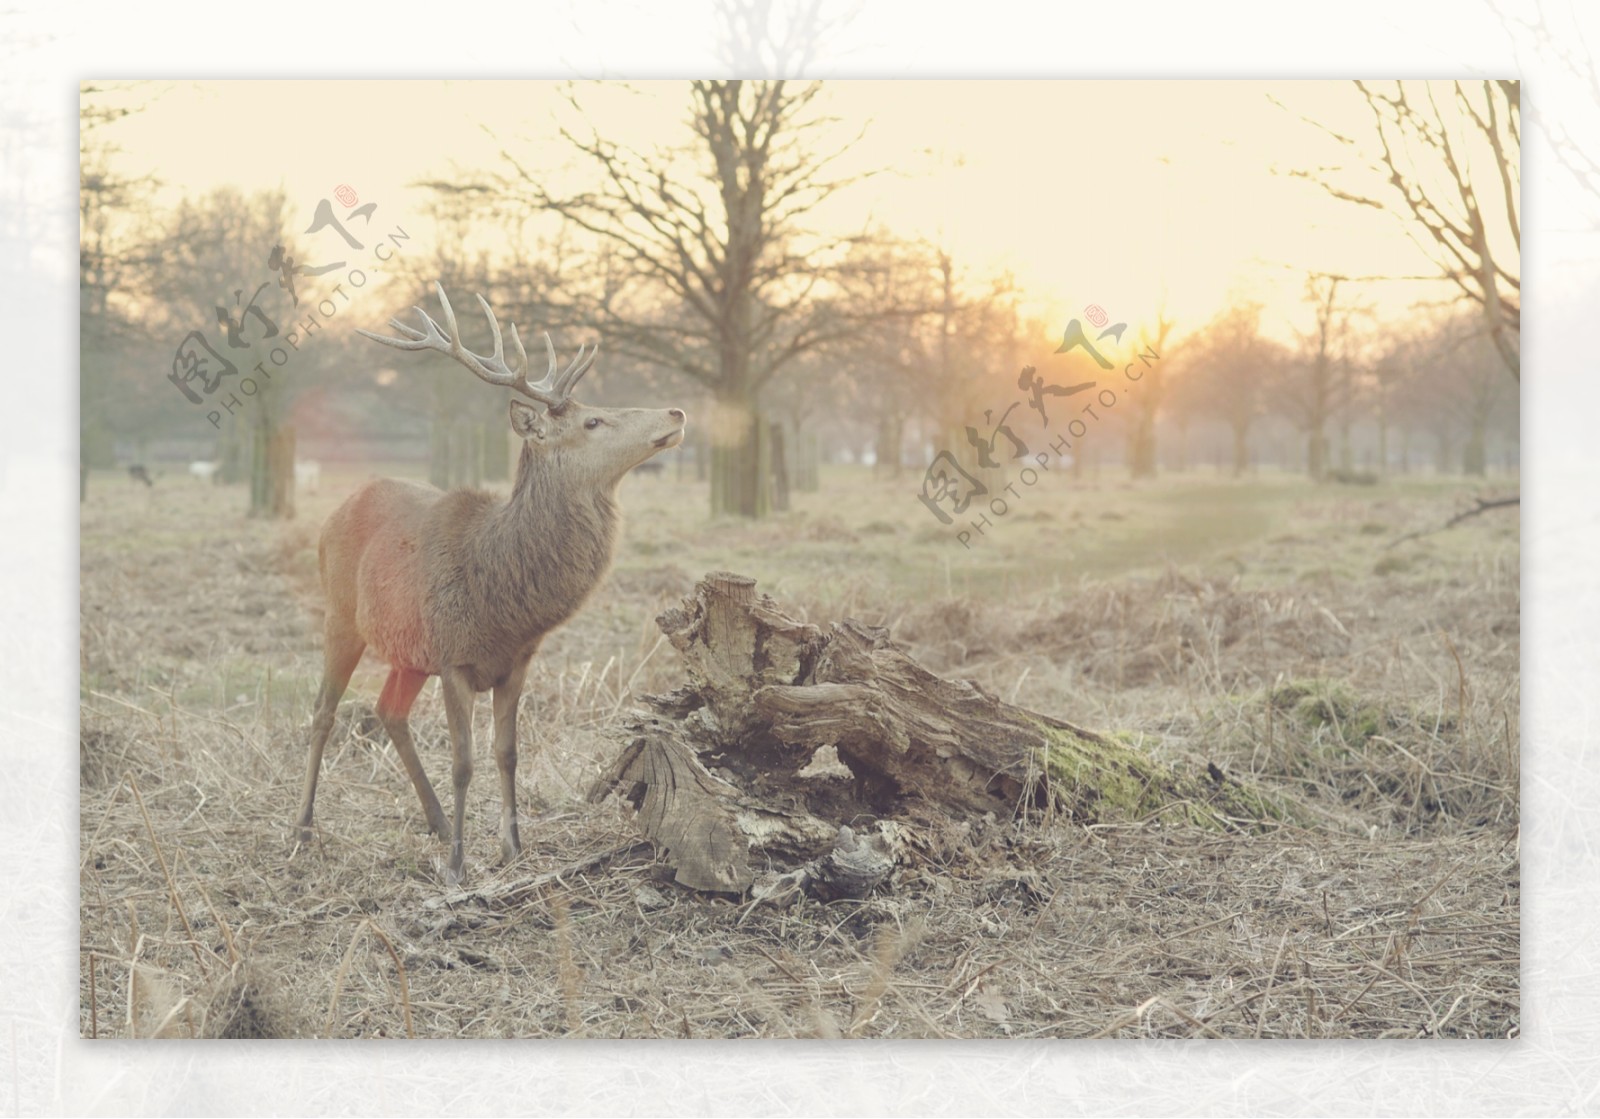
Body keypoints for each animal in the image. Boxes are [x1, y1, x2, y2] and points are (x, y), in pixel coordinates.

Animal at [297, 286, 684, 883]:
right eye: (594, 422)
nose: (676, 410)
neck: (501, 600)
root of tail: (337, 509)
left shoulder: (515, 662)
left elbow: (507, 753)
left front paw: (512, 848)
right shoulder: (453, 658)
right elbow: (464, 761)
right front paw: (459, 864)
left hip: (409, 652)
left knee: (389, 711)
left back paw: (434, 821)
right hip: (340, 615)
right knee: (323, 711)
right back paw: (303, 828)